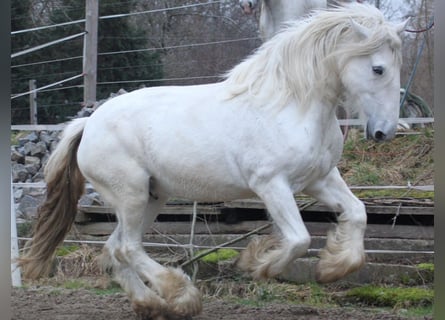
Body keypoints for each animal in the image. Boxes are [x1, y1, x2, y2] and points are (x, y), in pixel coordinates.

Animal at [20, 3, 406, 318]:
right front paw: (258, 264)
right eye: (378, 69)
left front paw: (331, 269)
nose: (384, 131)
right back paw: (182, 295)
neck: (290, 104)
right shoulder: (271, 185)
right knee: (128, 247)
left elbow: (358, 213)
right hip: (130, 195)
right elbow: (298, 239)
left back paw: (153, 304)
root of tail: (88, 124)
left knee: (115, 248)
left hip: (151, 197)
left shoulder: (320, 179)